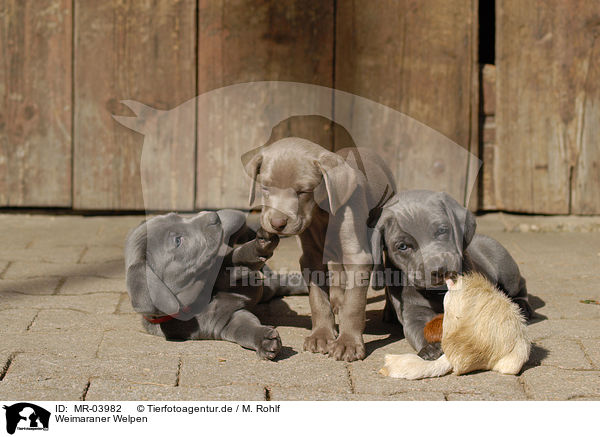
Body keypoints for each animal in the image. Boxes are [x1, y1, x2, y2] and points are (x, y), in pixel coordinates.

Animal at [125, 209, 308, 360]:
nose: (214, 215)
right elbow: (244, 329)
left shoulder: (226, 266)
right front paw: (264, 340)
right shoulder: (224, 322)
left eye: (177, 216)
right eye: (177, 240)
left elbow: (237, 258)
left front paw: (259, 245)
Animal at [370, 189, 536, 360]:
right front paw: (430, 348)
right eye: (402, 246)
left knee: (520, 284)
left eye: (442, 230)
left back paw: (522, 306)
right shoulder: (413, 311)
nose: (439, 270)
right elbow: (419, 329)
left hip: (507, 271)